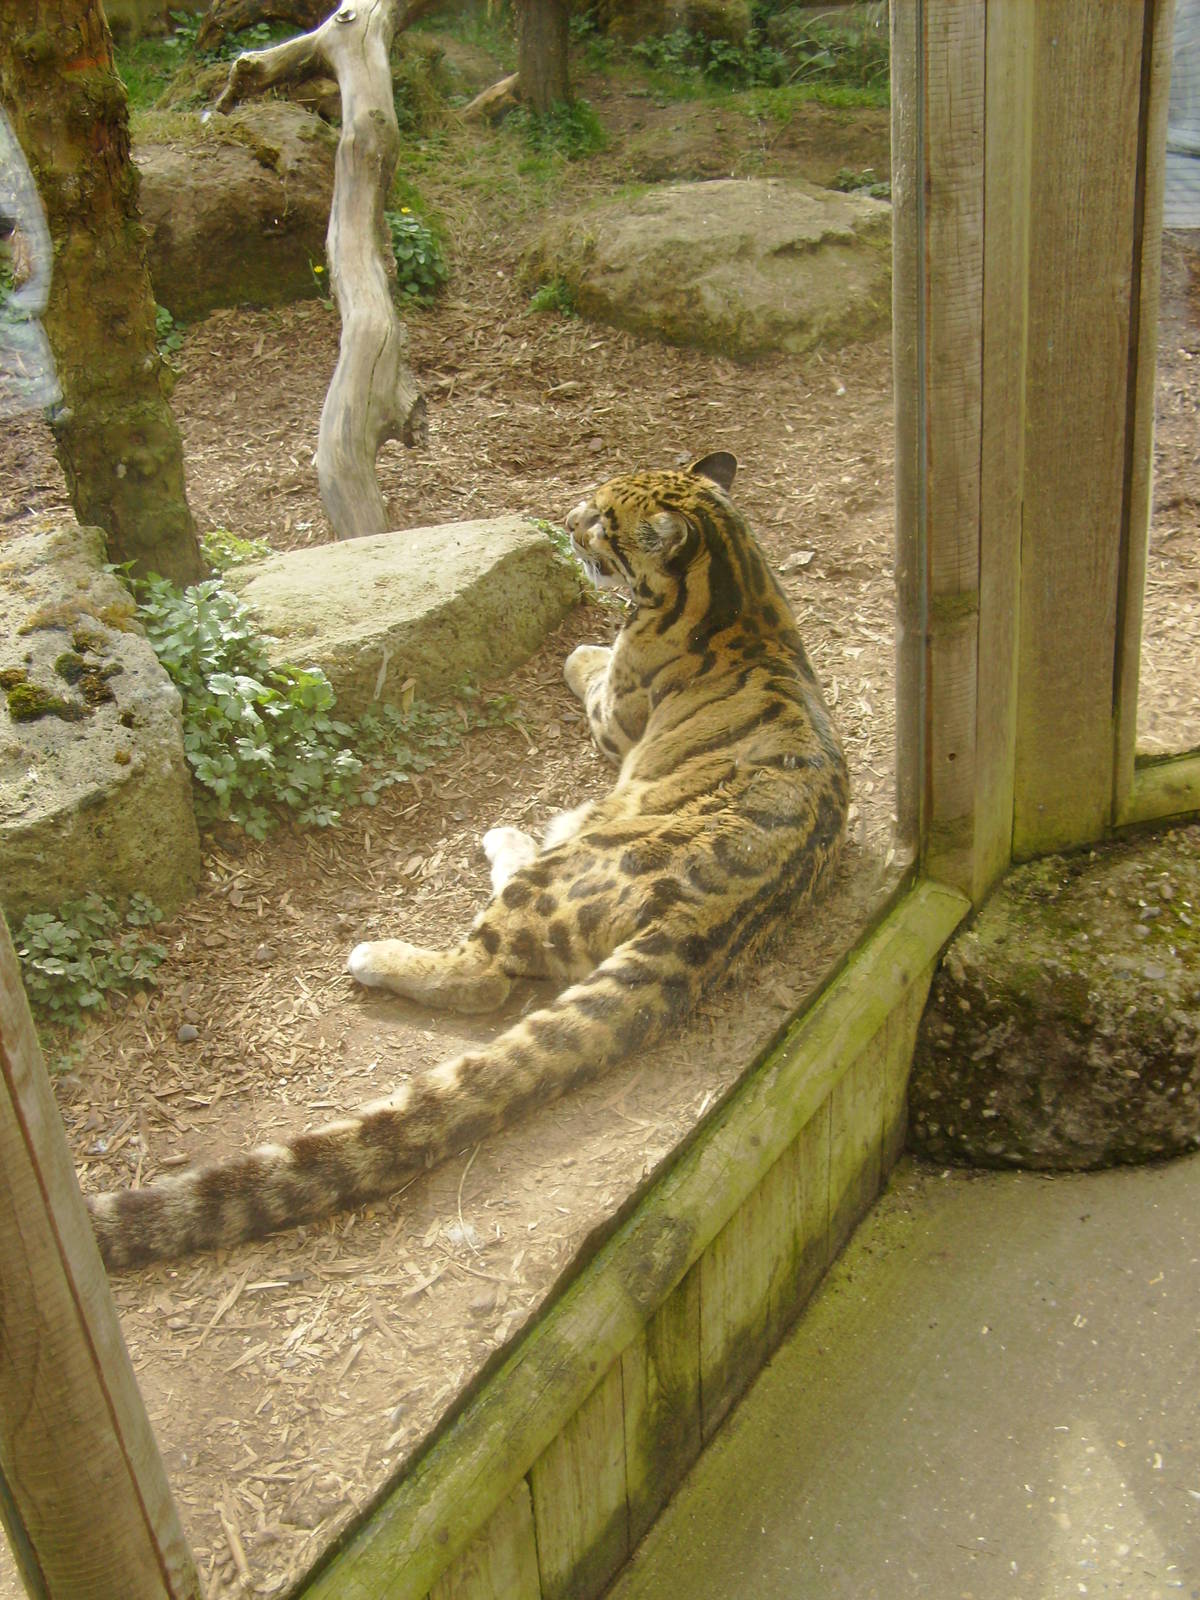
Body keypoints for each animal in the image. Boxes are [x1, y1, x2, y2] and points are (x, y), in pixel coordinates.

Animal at [88, 452, 848, 1270]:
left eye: (604, 519)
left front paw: (580, 649)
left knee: (482, 973)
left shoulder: (615, 714)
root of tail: (702, 919)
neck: (740, 574)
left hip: (561, 872)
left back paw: (421, 914)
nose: (569, 519)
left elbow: (588, 663)